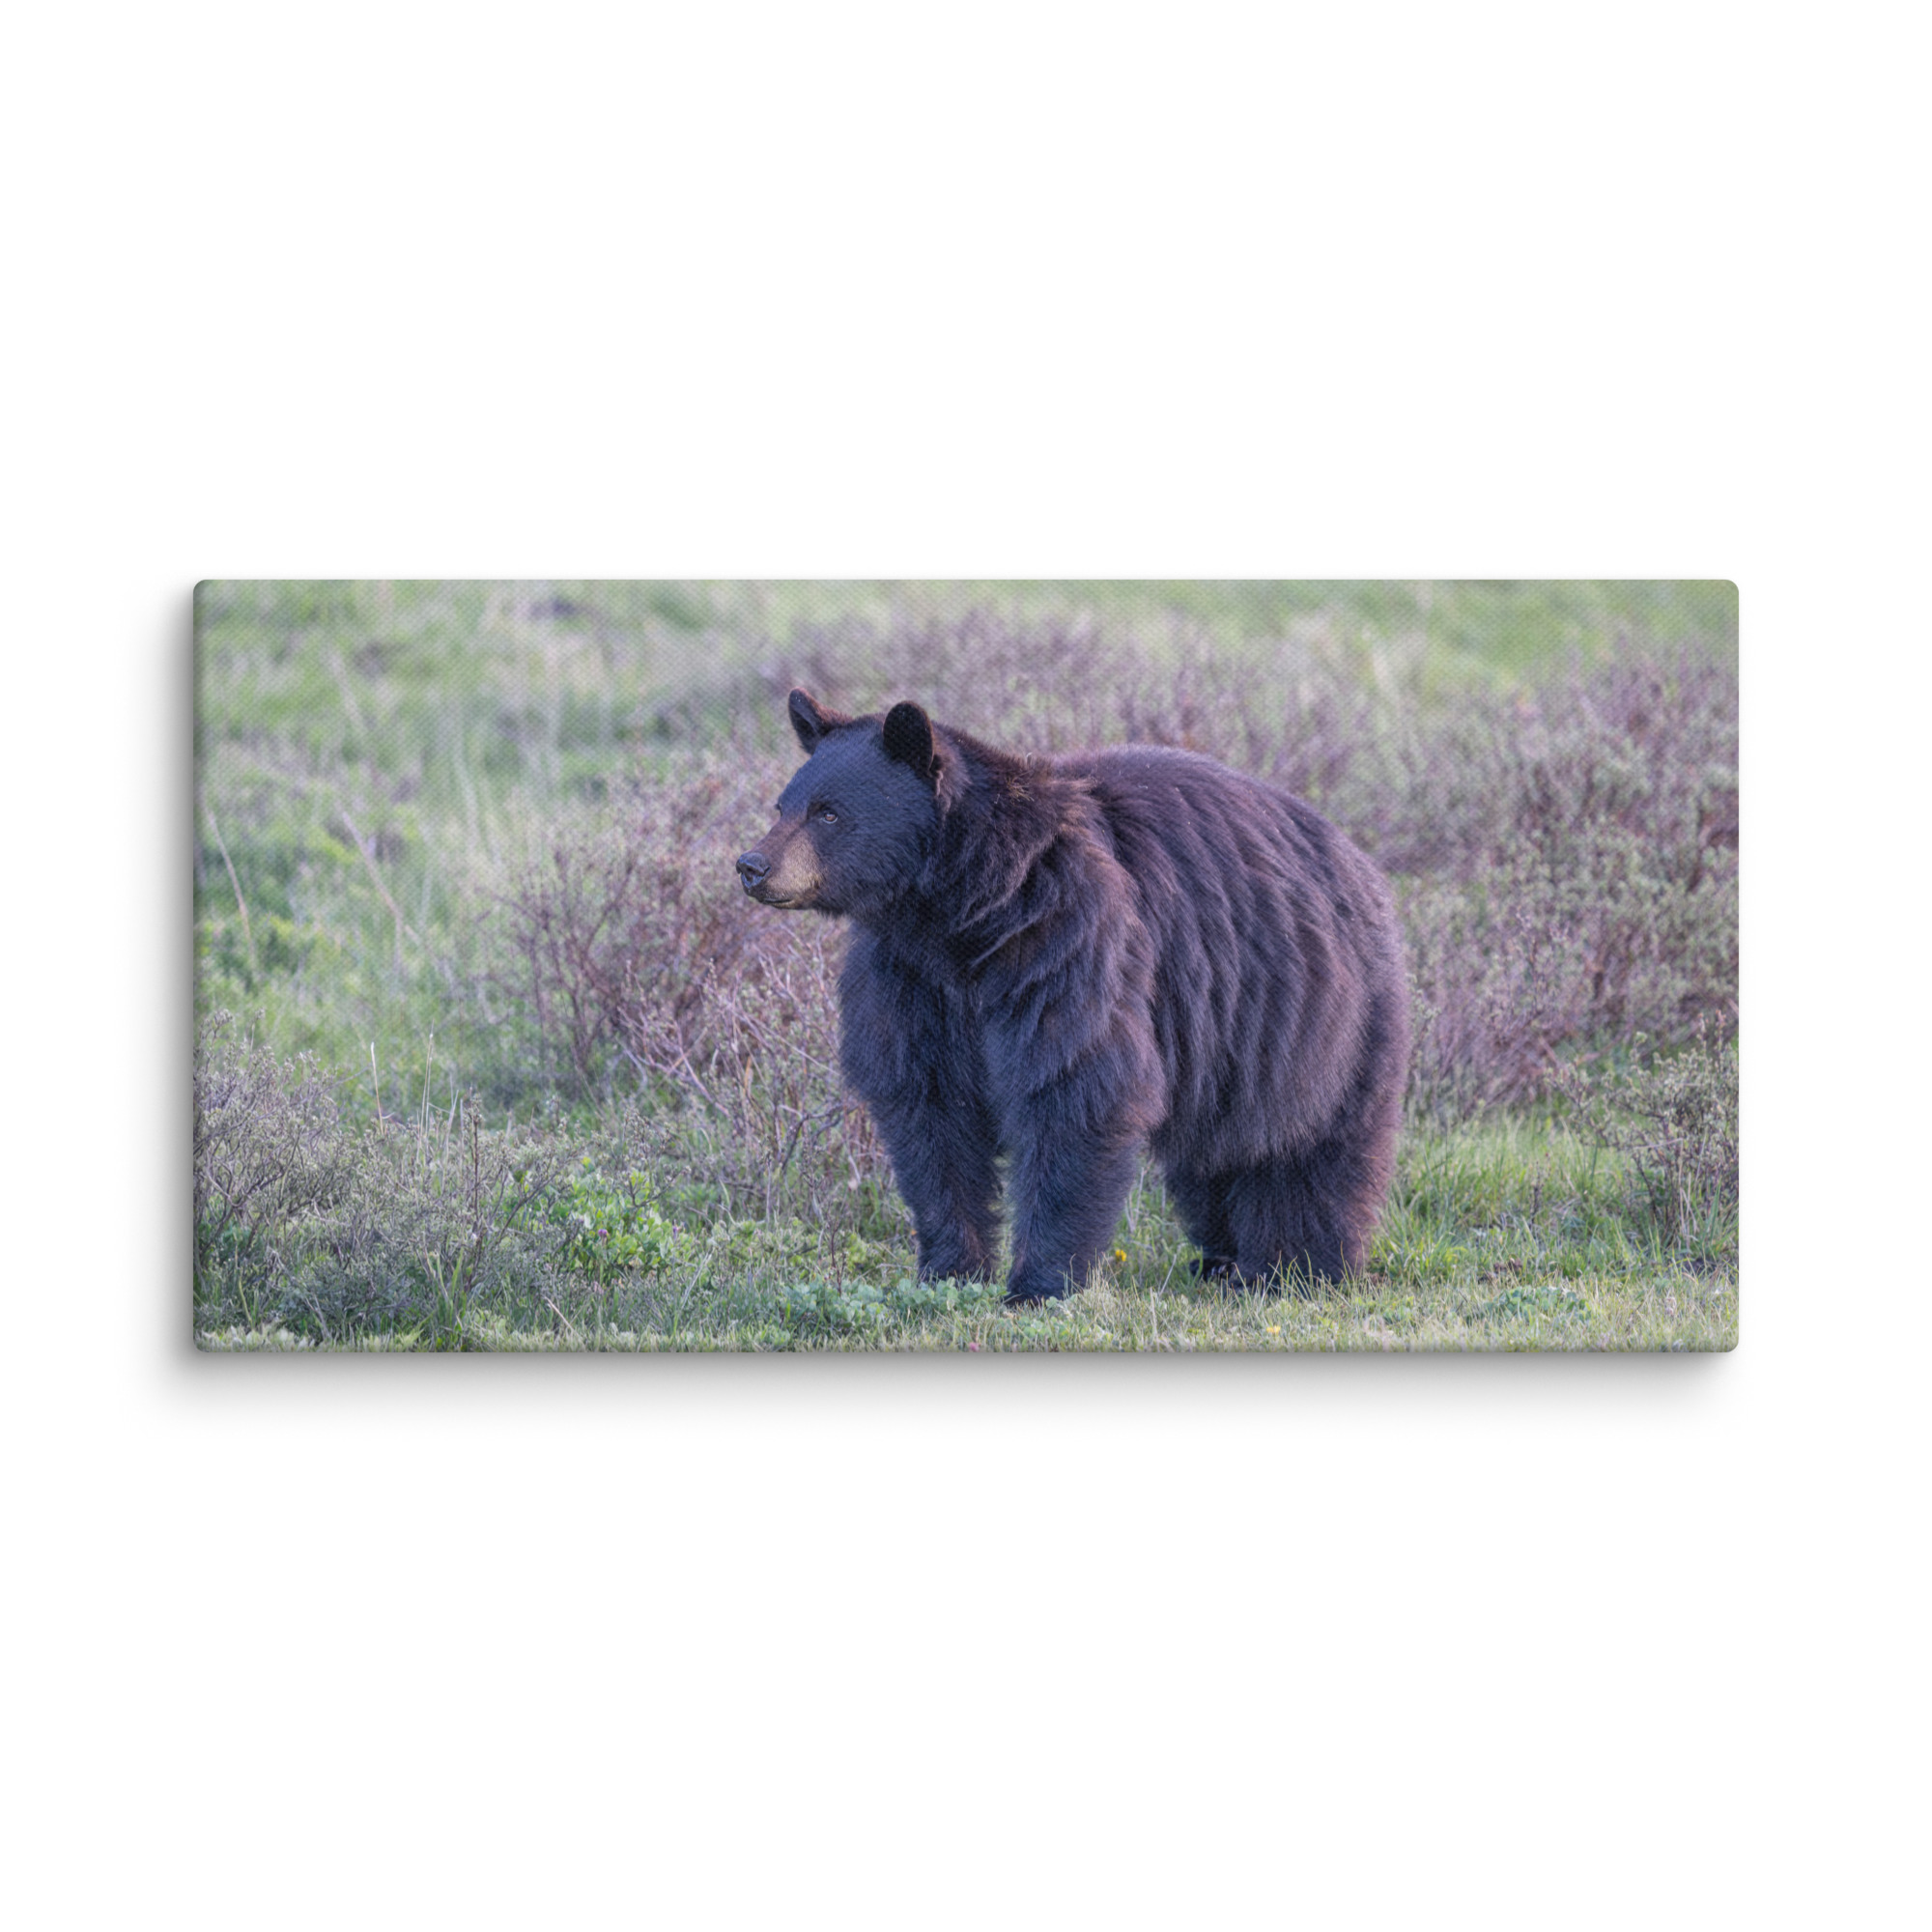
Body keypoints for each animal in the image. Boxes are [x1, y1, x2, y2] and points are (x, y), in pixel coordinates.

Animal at [736, 688, 1410, 1305]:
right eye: (783, 804)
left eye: (828, 813)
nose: (752, 865)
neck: (962, 913)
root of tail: (1358, 860)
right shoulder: (910, 980)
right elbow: (929, 1110)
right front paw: (950, 1269)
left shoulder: (1066, 941)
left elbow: (1074, 1089)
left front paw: (1037, 1285)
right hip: (1228, 1042)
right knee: (1216, 1155)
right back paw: (1221, 1260)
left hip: (1318, 1017)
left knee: (1311, 1148)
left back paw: (1295, 1267)